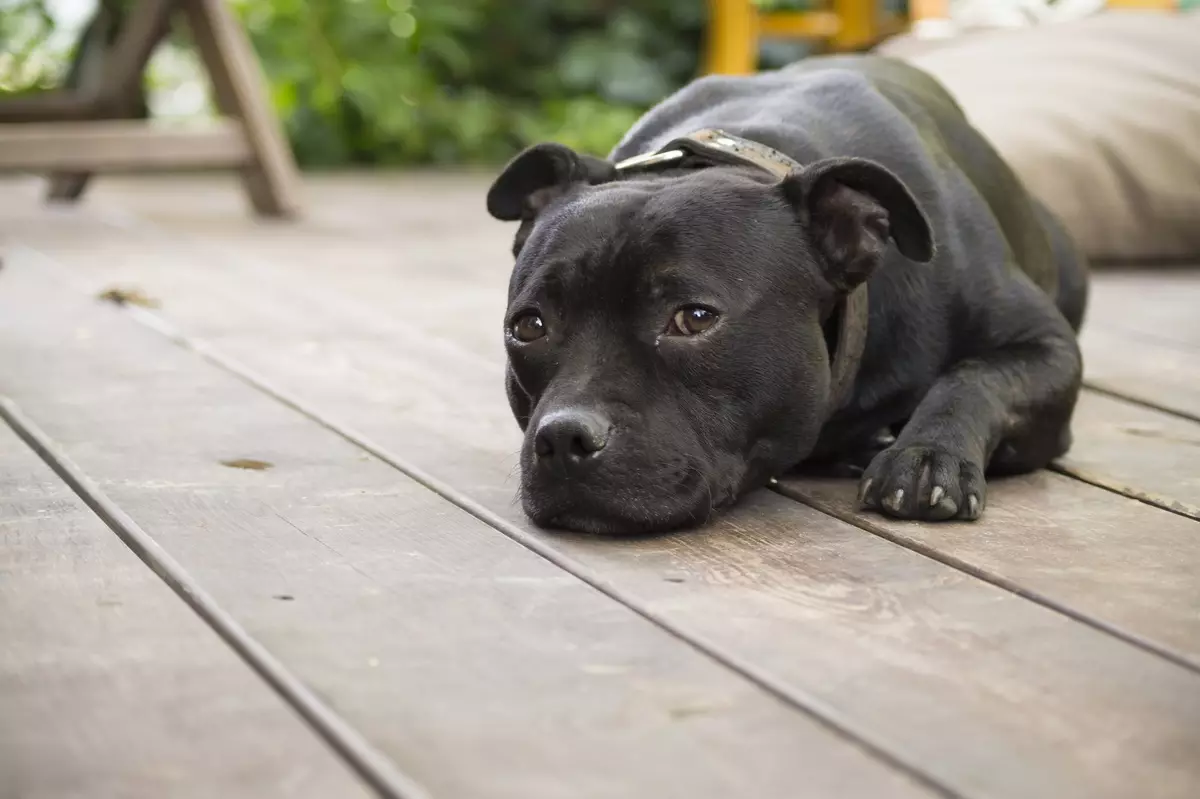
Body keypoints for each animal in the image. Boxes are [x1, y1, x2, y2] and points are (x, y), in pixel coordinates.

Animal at [484, 54, 1089, 527]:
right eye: (529, 326)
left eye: (695, 318)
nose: (564, 438)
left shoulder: (1047, 346)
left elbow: (975, 377)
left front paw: (926, 454)